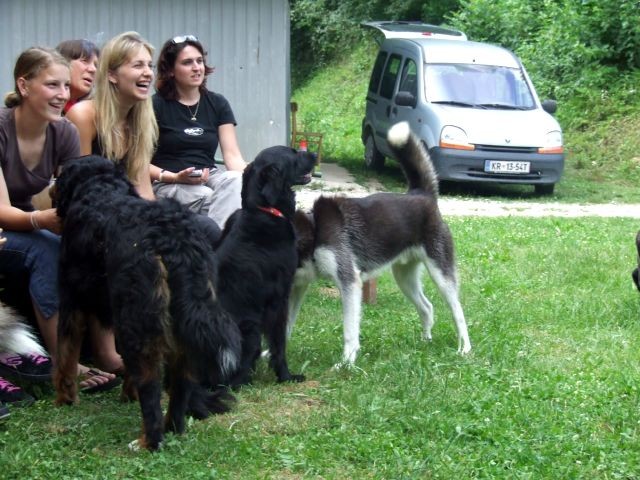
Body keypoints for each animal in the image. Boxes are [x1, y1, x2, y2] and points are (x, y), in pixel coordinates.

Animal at [52, 157, 241, 450]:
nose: (49, 187)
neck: (98, 188)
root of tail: (170, 234)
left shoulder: (71, 301)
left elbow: (65, 358)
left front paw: (65, 400)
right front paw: (128, 395)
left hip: (137, 322)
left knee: (151, 388)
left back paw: (147, 441)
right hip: (177, 323)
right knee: (180, 384)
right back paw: (173, 428)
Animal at [215, 146, 318, 386]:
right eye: (293, 154)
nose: (315, 155)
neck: (262, 211)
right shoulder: (279, 297)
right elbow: (279, 343)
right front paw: (286, 376)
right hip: (250, 331)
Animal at [290, 123, 470, 368]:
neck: (314, 229)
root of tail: (422, 195)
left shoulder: (349, 282)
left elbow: (349, 331)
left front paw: (346, 363)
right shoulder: (298, 286)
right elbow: (285, 326)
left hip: (441, 274)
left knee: (458, 311)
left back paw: (465, 348)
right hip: (404, 277)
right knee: (427, 307)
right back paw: (425, 342)